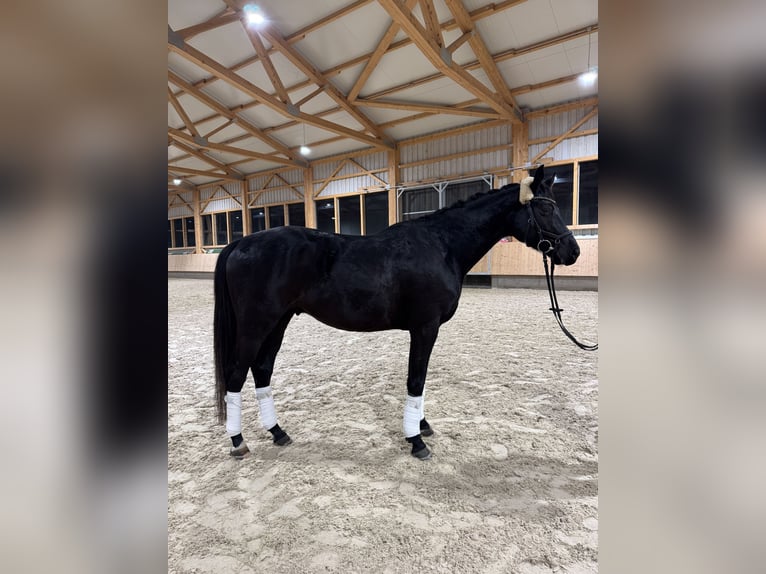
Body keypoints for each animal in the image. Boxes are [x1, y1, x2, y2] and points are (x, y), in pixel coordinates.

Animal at [213, 164, 580, 462]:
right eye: (545, 207)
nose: (573, 251)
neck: (442, 245)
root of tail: (240, 243)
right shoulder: (425, 327)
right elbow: (415, 379)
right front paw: (416, 440)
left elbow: (421, 379)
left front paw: (422, 426)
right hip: (256, 325)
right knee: (237, 373)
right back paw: (238, 442)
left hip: (279, 322)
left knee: (262, 369)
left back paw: (278, 432)